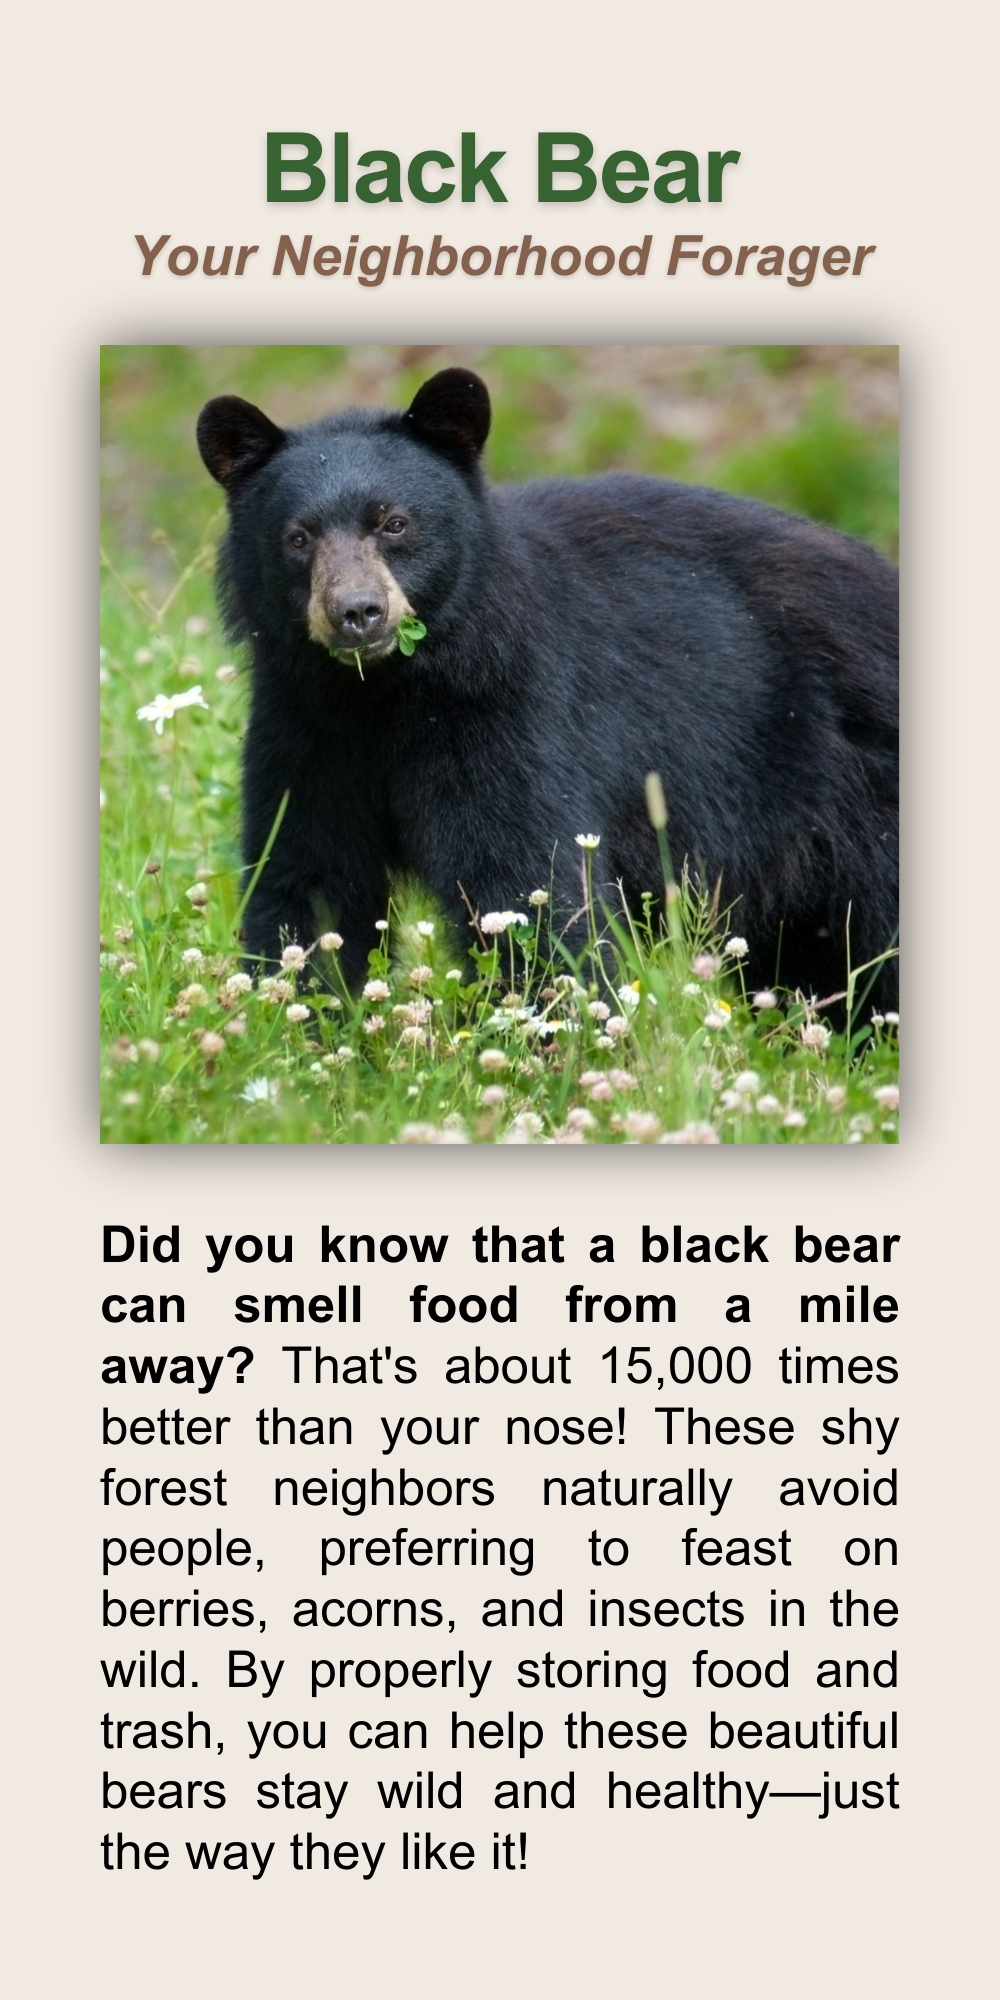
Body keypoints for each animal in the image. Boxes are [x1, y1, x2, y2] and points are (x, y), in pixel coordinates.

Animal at [196, 366, 898, 1007]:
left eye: (393, 523)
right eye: (298, 537)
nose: (358, 612)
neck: (386, 692)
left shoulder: (509, 707)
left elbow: (522, 876)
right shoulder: (304, 721)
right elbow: (307, 873)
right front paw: (292, 1019)